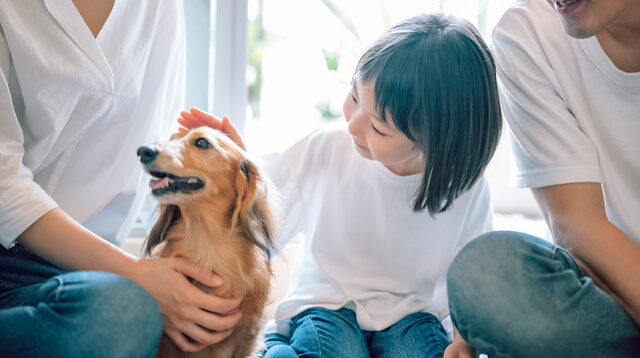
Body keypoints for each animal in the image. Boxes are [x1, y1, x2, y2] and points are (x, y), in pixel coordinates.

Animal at [139, 127, 278, 356]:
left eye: (202, 143)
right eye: (172, 140)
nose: (143, 151)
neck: (207, 249)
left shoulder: (247, 335)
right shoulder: (169, 340)